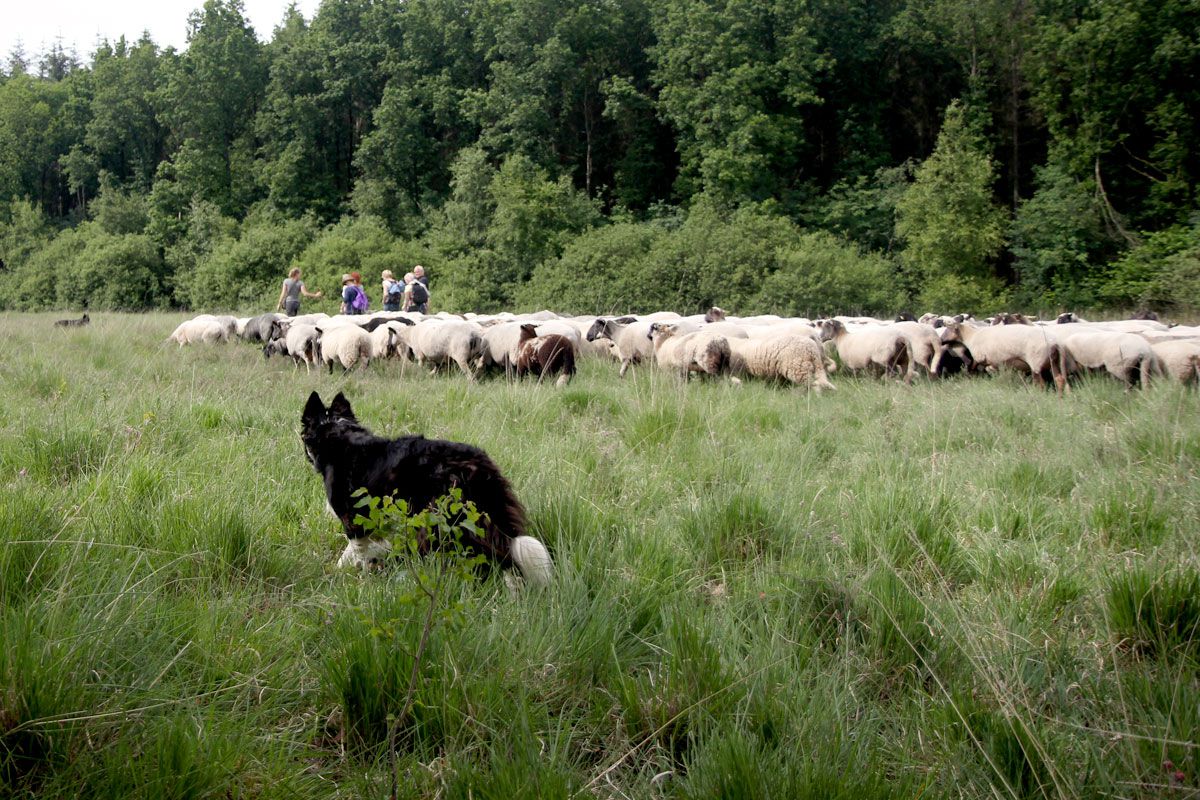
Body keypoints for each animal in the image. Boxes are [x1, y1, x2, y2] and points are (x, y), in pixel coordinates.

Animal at [300, 393, 552, 585]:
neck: (335, 431)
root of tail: (481, 468)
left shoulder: (353, 521)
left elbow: (352, 552)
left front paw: (342, 572)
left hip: (444, 521)